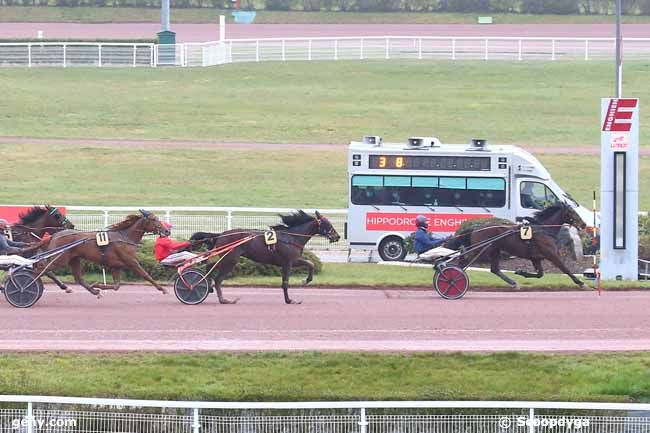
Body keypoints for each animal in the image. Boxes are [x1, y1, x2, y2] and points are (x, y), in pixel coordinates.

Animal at [40, 210, 170, 296]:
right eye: (154, 219)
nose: (167, 231)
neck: (125, 237)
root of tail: (54, 236)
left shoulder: (115, 266)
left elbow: (117, 286)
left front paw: (97, 285)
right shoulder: (131, 262)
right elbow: (146, 275)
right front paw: (163, 289)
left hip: (74, 259)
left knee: (78, 278)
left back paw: (94, 291)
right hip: (59, 259)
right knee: (42, 269)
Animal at [189, 209, 340, 304]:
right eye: (327, 224)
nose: (337, 236)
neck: (291, 237)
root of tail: (220, 234)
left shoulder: (291, 261)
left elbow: (310, 264)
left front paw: (305, 281)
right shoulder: (289, 261)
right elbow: (286, 282)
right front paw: (290, 299)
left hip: (226, 258)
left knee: (209, 266)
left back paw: (209, 287)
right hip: (230, 259)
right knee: (217, 278)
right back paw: (223, 299)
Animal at [454, 203, 584, 290]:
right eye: (573, 212)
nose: (584, 224)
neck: (544, 229)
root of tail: (475, 228)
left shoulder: (536, 258)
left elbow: (540, 274)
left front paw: (521, 272)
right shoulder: (551, 254)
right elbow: (565, 268)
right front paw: (580, 282)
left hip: (494, 250)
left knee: (494, 269)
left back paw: (513, 283)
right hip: (481, 249)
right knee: (463, 260)